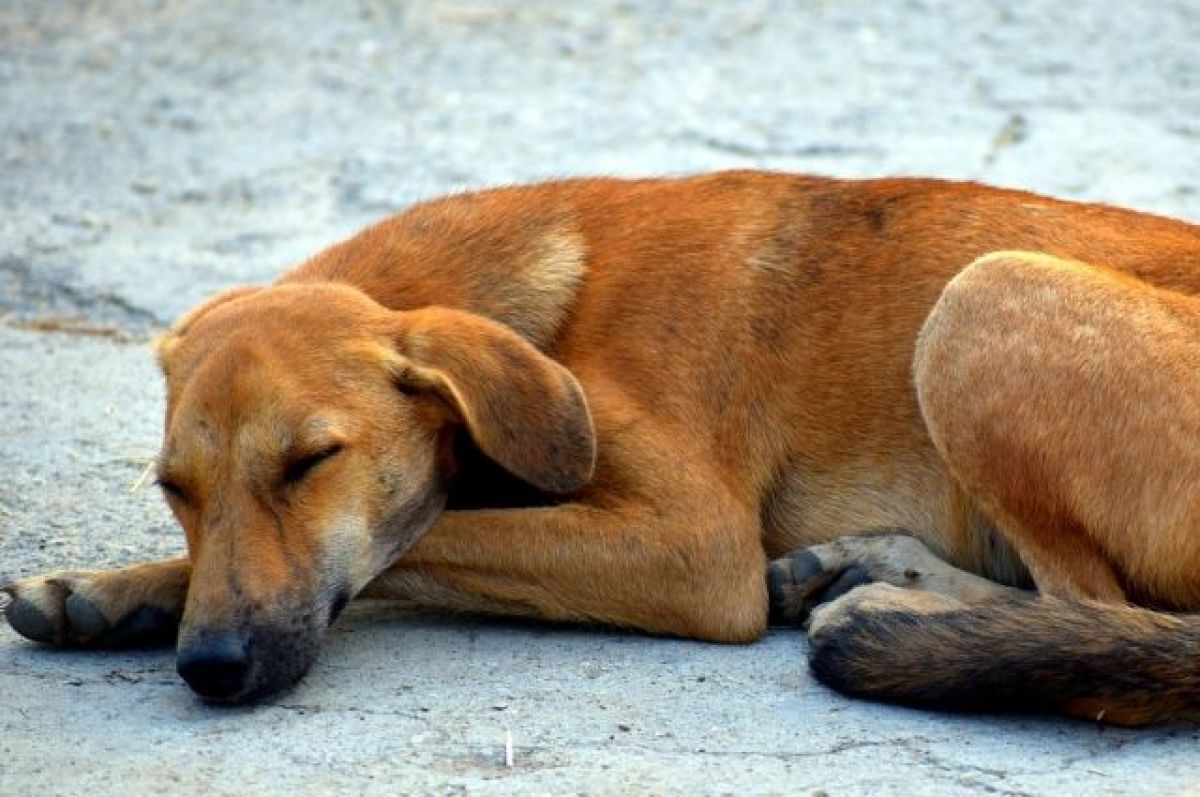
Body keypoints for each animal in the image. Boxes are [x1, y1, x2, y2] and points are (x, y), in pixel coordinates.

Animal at [2, 172, 1200, 720]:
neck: (552, 314)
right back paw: (873, 573)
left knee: (1101, 609)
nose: (209, 667)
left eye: (310, 462)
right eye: (176, 489)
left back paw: (914, 621)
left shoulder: (696, 548)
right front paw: (107, 590)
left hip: (983, 297)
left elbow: (426, 533)